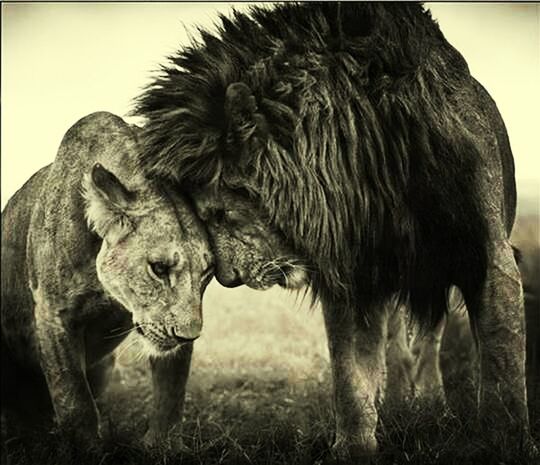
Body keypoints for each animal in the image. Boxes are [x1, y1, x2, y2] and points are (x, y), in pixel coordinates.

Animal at [1, 111, 214, 446]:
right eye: (159, 268)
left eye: (207, 273)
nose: (188, 336)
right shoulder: (53, 314)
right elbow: (74, 401)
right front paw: (86, 448)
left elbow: (171, 392)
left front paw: (163, 446)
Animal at [134, 2, 532, 460]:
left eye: (217, 213)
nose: (229, 280)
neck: (371, 166)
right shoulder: (352, 274)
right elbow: (351, 376)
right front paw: (355, 445)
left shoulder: (487, 257)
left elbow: (502, 365)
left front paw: (507, 444)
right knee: (395, 344)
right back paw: (400, 403)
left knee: (430, 337)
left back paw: (432, 403)